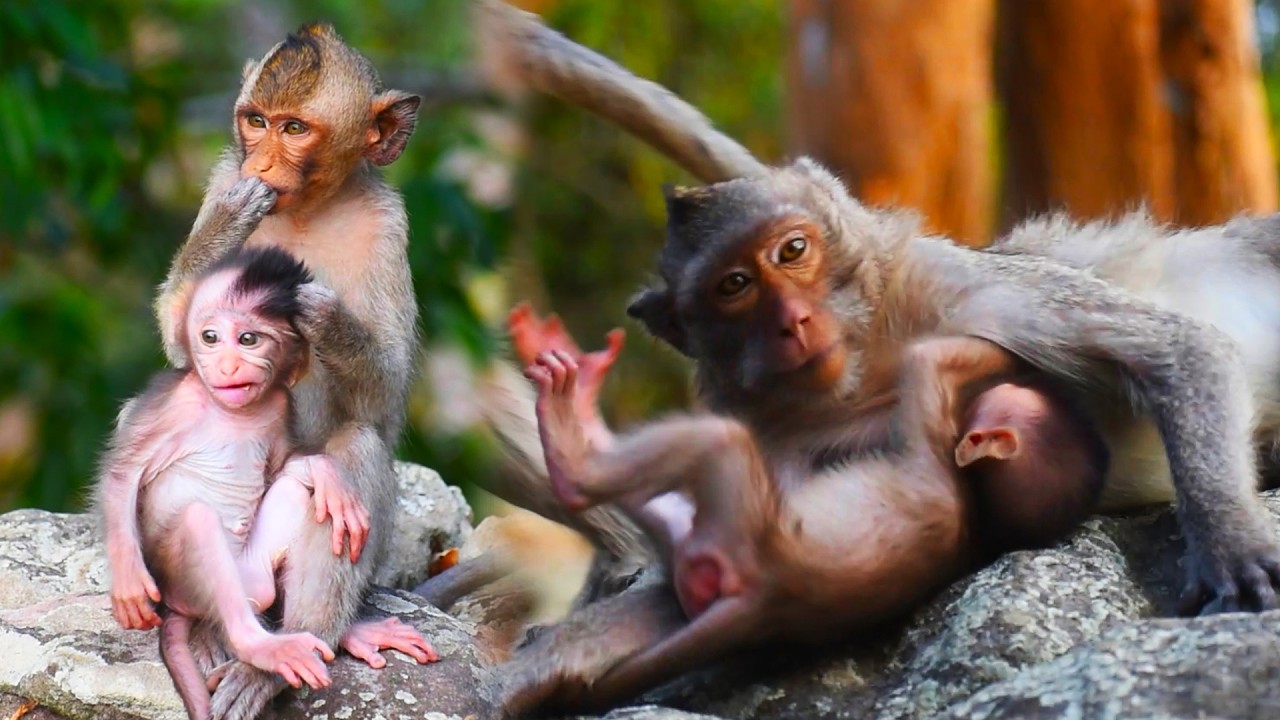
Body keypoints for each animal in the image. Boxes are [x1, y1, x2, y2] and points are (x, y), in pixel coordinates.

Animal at [96, 248, 437, 720]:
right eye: (210, 337)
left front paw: (325, 473)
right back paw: (260, 649)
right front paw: (129, 584)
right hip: (181, 582)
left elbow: (291, 464)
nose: (227, 365)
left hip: (257, 575)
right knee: (198, 523)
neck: (232, 409)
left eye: (249, 340)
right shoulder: (172, 405)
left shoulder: (278, 405)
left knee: (317, 490)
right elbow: (122, 474)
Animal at [151, 22, 423, 719]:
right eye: (256, 122)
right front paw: (233, 219)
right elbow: (178, 337)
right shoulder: (221, 173)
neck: (305, 210)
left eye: (294, 128)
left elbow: (382, 397)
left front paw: (316, 311)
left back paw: (292, 652)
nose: (262, 165)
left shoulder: (389, 224)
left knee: (353, 449)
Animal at [472, 0, 1280, 617]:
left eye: (792, 250)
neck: (873, 358)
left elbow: (1178, 349)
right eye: (734, 287)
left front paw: (1229, 540)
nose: (794, 320)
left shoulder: (967, 285)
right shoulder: (775, 441)